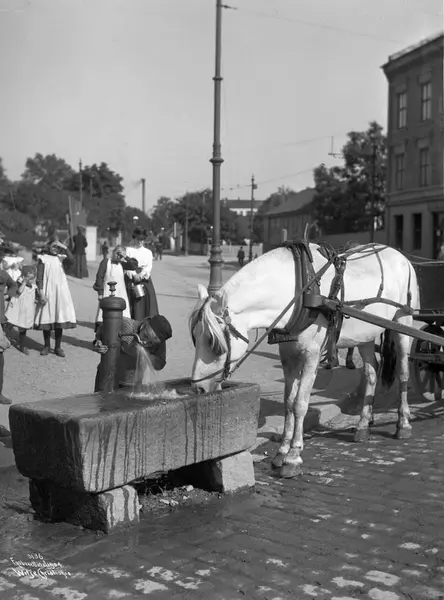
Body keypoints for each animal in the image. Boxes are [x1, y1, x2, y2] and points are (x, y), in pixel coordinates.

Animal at [189, 243, 420, 479]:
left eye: (213, 342)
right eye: (194, 338)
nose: (198, 388)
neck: (299, 292)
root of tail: (400, 255)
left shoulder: (312, 355)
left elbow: (300, 404)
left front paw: (293, 456)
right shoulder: (288, 354)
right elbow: (289, 402)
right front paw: (281, 451)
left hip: (404, 321)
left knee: (403, 371)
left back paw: (403, 423)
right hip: (365, 333)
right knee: (371, 371)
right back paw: (364, 424)